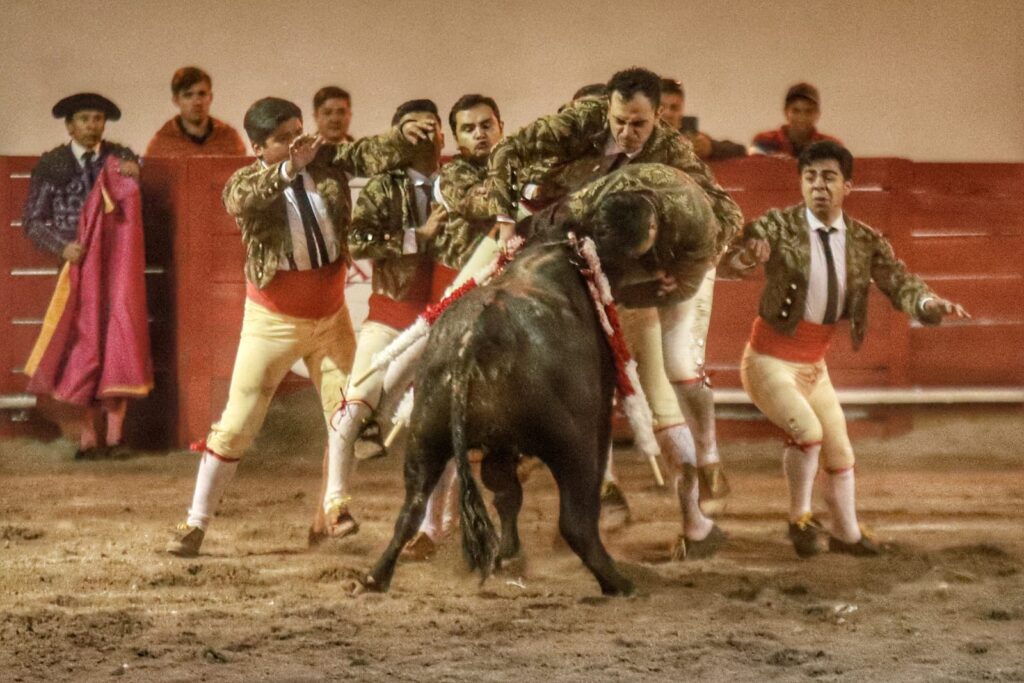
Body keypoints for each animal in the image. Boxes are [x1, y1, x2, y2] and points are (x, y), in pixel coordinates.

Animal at [364, 236, 634, 598]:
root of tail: (475, 335)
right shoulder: (597, 418)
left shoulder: (498, 446)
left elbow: (507, 495)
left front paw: (508, 555)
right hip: (573, 444)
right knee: (577, 520)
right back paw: (617, 581)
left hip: (425, 435)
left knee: (412, 508)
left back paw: (375, 577)